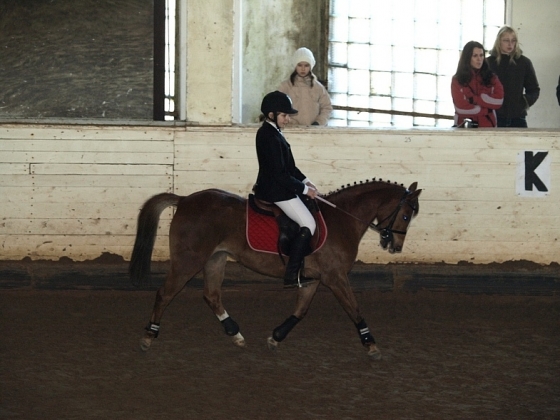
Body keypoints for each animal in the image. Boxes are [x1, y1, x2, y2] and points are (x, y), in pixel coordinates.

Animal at [130, 179, 420, 360]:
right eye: (406, 216)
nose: (395, 247)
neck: (343, 219)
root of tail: (185, 200)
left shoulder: (314, 279)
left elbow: (300, 311)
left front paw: (276, 337)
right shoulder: (336, 277)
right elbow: (355, 309)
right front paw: (371, 346)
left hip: (215, 259)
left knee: (211, 295)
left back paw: (236, 335)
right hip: (188, 260)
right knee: (164, 294)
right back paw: (148, 337)